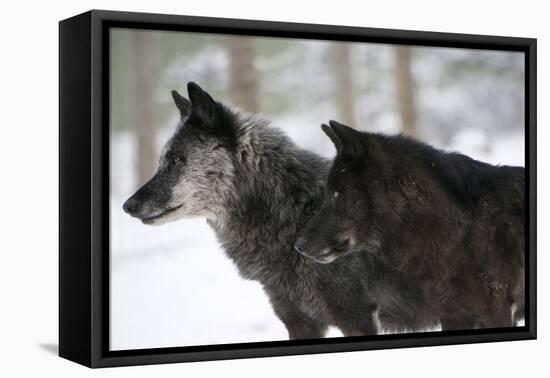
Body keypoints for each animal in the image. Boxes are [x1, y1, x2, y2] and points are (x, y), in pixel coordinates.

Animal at [125, 84, 394, 338]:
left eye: (177, 160)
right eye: (163, 160)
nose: (127, 206)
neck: (296, 215)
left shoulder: (356, 319)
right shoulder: (298, 321)